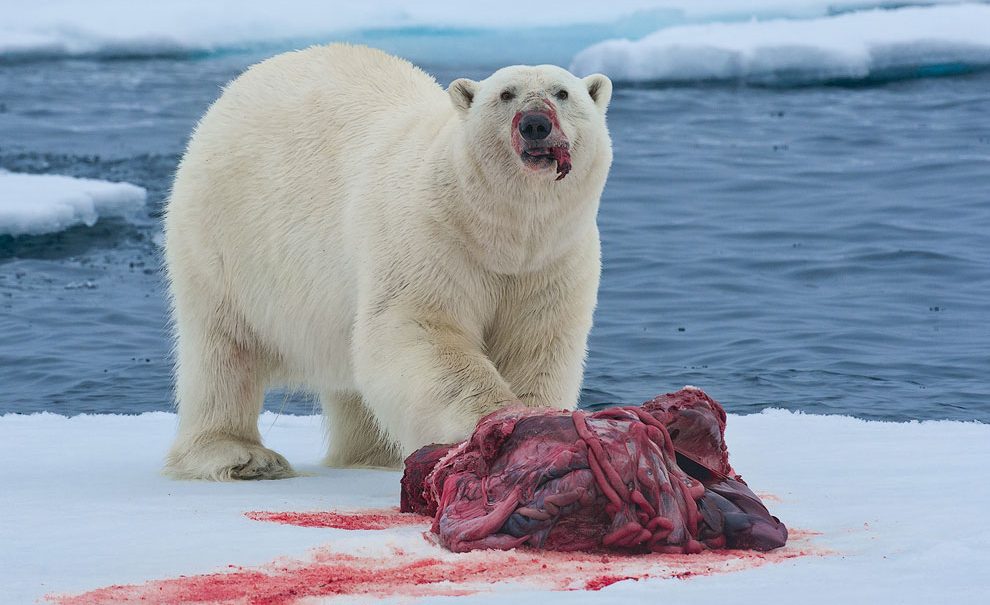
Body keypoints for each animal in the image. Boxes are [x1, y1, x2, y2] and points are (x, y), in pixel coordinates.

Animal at [164, 42, 612, 478]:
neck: (498, 233)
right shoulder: (431, 239)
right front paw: (495, 418)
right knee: (222, 351)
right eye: (506, 94)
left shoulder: (552, 260)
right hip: (224, 241)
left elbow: (537, 343)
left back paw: (374, 454)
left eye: (562, 93)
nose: (535, 124)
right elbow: (416, 329)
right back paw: (243, 456)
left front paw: (539, 423)